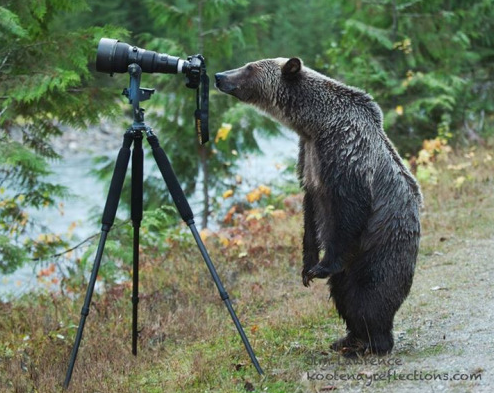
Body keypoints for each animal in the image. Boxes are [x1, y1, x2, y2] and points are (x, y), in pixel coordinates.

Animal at [214, 58, 422, 356]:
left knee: (369, 294)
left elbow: (349, 209)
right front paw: (307, 268)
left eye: (250, 67)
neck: (315, 125)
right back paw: (348, 339)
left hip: (380, 248)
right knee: (343, 293)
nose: (219, 76)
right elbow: (310, 212)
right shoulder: (309, 159)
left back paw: (372, 343)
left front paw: (320, 267)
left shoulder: (345, 154)